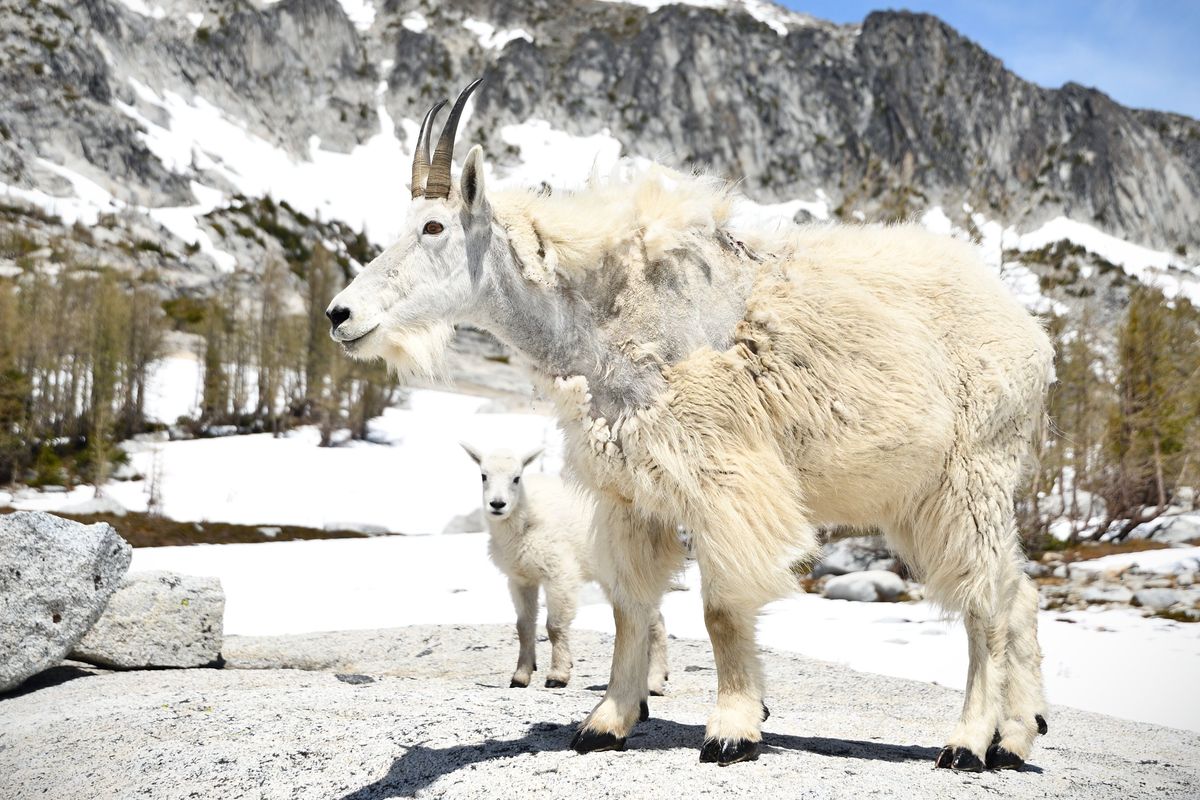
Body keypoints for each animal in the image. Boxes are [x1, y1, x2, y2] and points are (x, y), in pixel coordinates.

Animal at [458, 443, 672, 695]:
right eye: (483, 476)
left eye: (516, 478)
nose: (497, 504)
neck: (524, 522)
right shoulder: (521, 579)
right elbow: (524, 627)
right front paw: (520, 676)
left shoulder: (559, 574)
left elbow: (555, 626)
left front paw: (558, 675)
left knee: (654, 621)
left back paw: (654, 682)